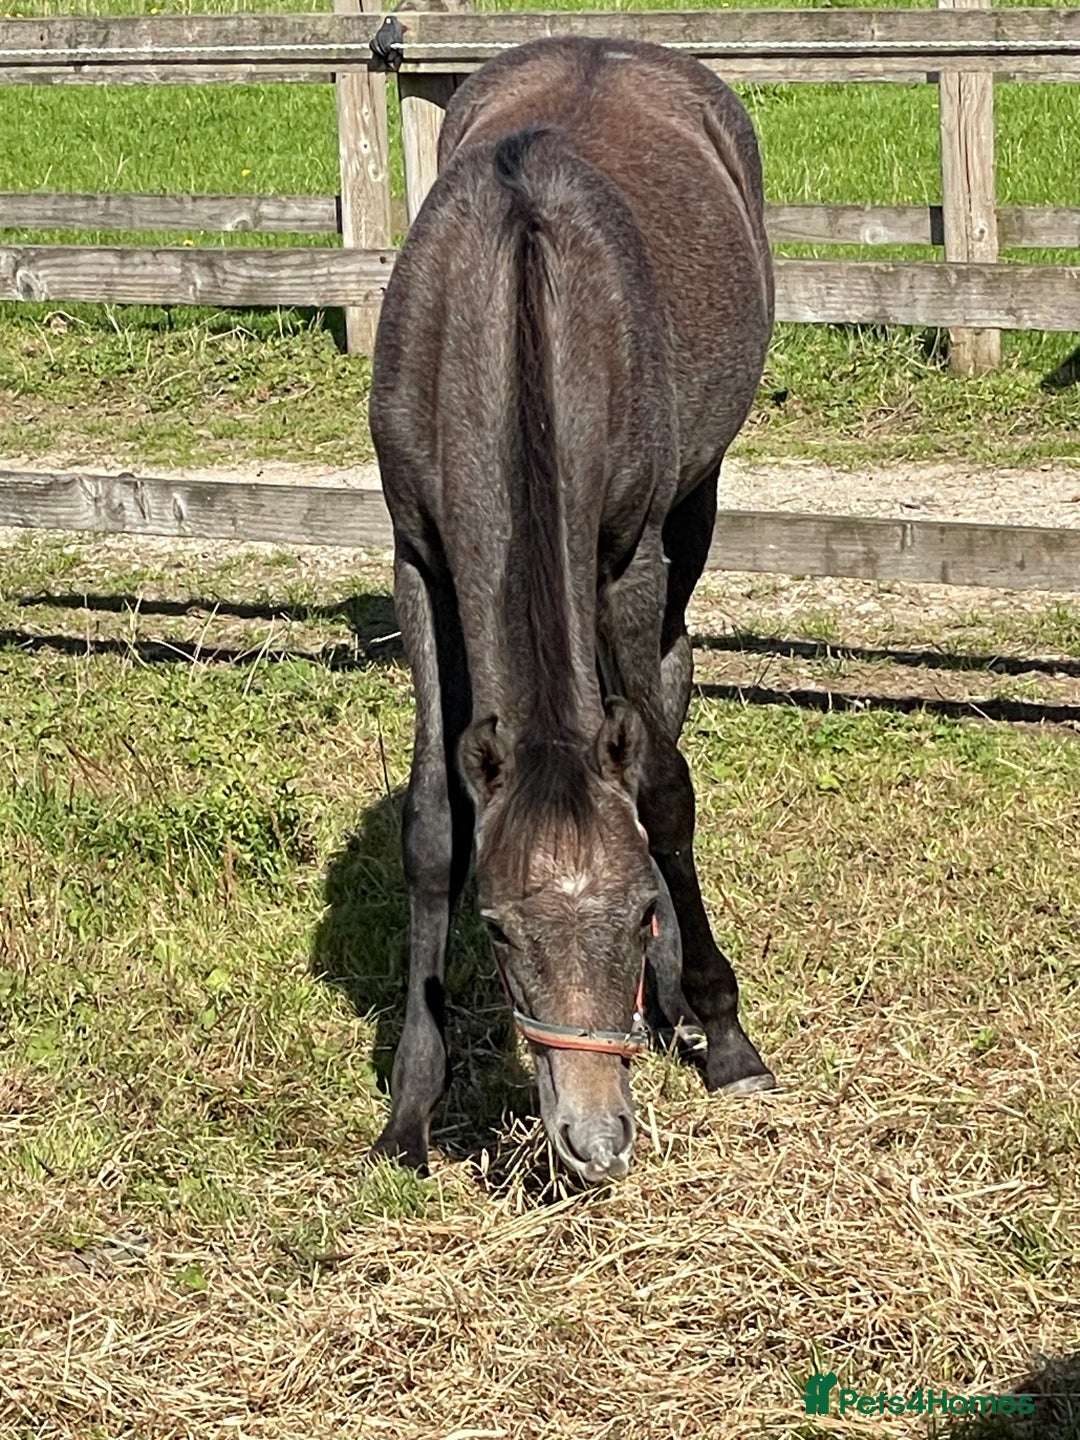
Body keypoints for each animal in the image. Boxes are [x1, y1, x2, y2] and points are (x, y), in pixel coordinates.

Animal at [368, 36, 775, 1185]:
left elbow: (665, 792)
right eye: (500, 931)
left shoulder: (627, 557)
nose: (595, 1143)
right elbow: (432, 822)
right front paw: (412, 1105)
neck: (517, 300)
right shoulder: (420, 559)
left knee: (670, 683)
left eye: (636, 915)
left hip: (695, 499)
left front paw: (724, 1029)